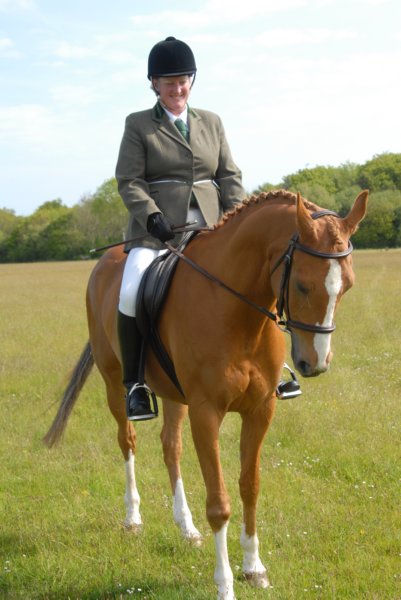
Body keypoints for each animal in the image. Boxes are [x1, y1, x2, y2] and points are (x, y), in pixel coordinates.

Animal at [43, 190, 366, 596]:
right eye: (303, 285)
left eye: (348, 286)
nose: (315, 363)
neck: (238, 312)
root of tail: (106, 260)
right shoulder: (206, 412)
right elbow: (219, 503)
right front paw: (225, 585)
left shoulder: (260, 410)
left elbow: (250, 487)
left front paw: (254, 568)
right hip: (113, 381)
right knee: (127, 441)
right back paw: (133, 517)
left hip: (172, 393)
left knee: (171, 446)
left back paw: (186, 527)